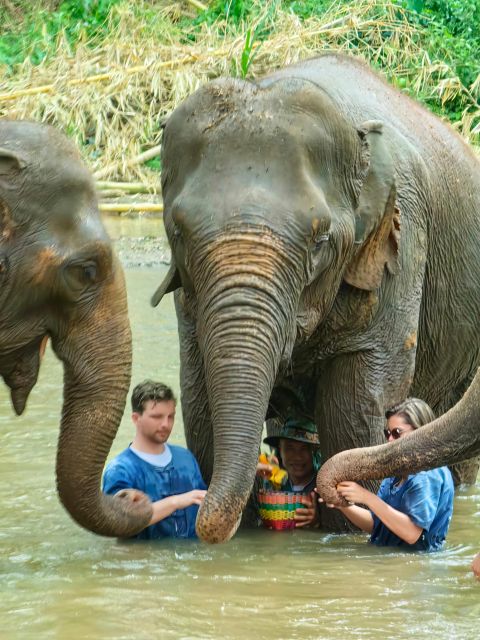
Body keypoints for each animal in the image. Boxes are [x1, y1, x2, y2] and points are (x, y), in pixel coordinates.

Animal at [154, 52, 480, 544]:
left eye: (320, 239)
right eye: (179, 231)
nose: (206, 526)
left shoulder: (401, 246)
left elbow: (353, 409)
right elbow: (200, 401)